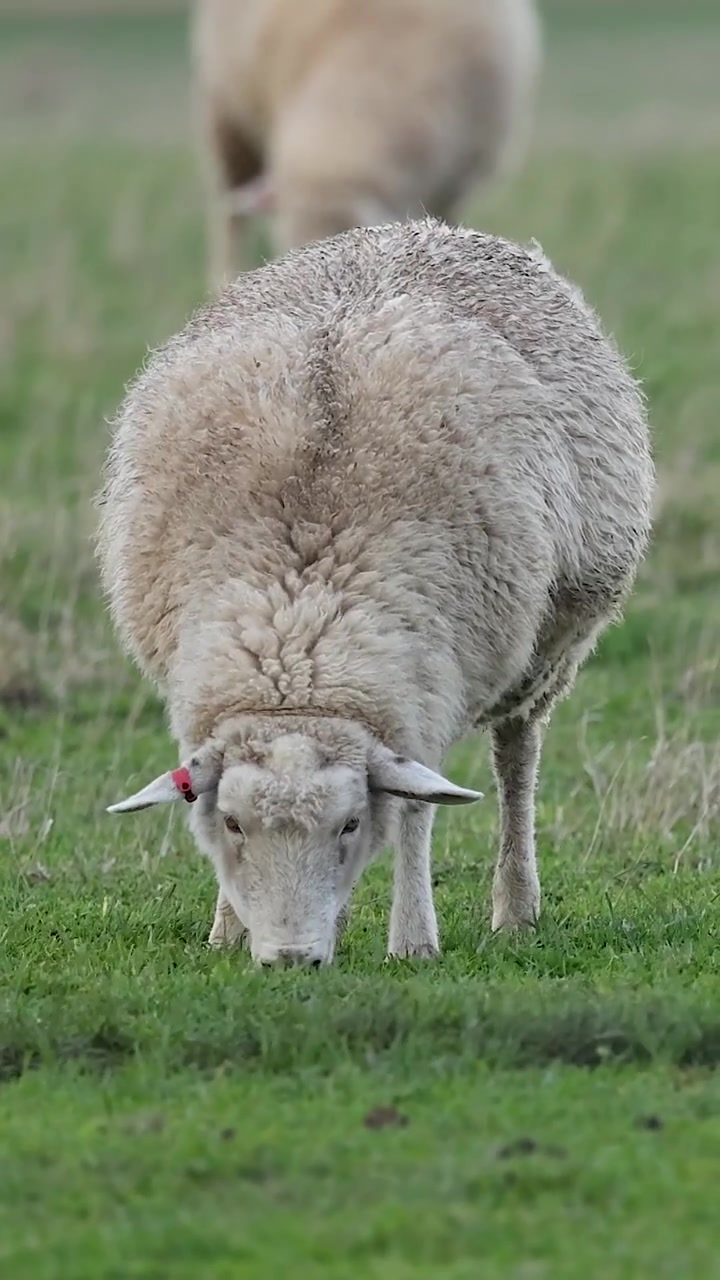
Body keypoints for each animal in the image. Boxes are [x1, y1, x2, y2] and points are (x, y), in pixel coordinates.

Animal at [97, 219, 654, 967]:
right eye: (236, 825)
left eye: (351, 823)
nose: (291, 958)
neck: (299, 631)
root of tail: (413, 227)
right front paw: (228, 930)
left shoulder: (428, 686)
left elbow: (418, 811)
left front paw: (413, 940)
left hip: (544, 651)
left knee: (516, 758)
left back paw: (516, 908)